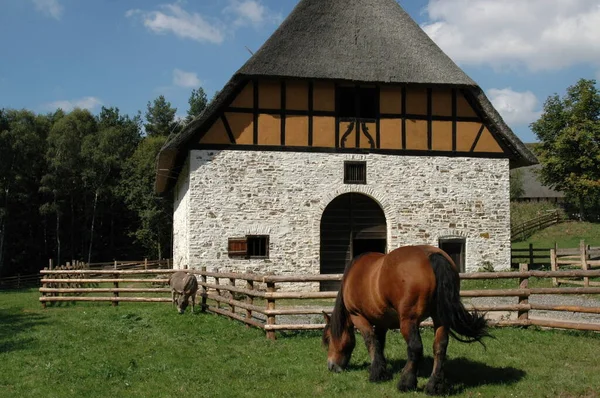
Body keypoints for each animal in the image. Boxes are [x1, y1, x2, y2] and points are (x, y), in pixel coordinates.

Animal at [324, 246, 488, 394]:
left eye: (328, 339)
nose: (331, 366)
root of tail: (431, 256)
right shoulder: (382, 320)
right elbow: (379, 343)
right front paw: (382, 369)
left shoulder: (358, 316)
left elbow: (371, 341)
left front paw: (376, 373)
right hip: (440, 319)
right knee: (440, 347)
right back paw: (434, 386)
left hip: (408, 321)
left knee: (415, 348)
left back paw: (406, 382)